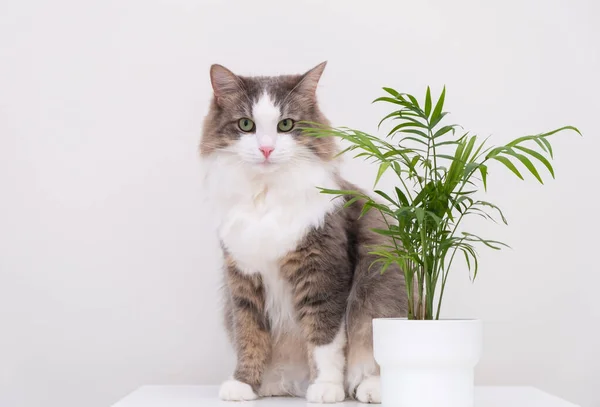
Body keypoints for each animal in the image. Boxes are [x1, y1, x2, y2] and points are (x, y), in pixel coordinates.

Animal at [200, 62, 408, 404]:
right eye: (246, 125)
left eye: (286, 125)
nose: (266, 148)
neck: (266, 197)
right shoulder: (242, 280)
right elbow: (249, 336)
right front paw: (244, 384)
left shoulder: (322, 273)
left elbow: (324, 340)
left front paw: (326, 388)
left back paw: (368, 388)